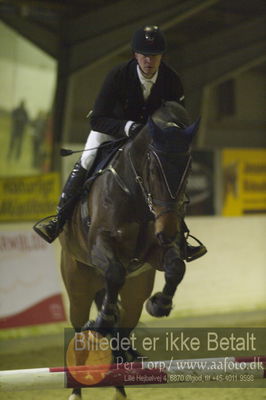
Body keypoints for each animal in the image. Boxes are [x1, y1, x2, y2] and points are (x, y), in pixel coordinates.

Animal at [58, 101, 200, 398]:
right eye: (153, 168)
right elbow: (114, 271)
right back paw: (76, 388)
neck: (137, 194)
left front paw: (160, 304)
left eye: (189, 168)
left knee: (122, 331)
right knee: (79, 329)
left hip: (136, 291)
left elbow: (176, 267)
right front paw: (102, 321)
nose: (168, 230)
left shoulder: (157, 250)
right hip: (78, 285)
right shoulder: (101, 243)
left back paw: (120, 387)